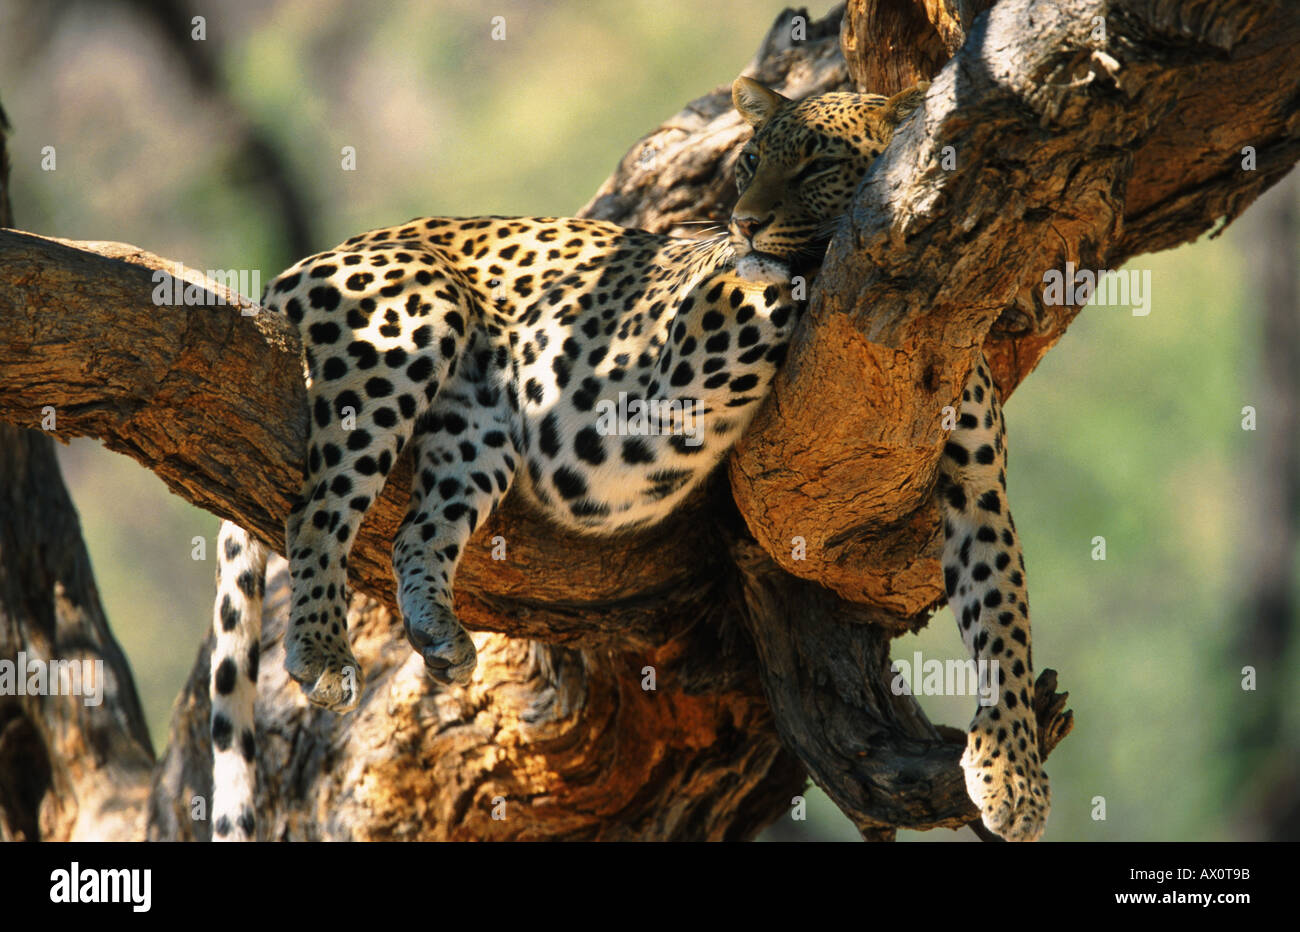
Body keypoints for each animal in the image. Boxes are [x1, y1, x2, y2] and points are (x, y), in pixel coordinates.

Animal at [208, 75, 1049, 843]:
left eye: (817, 164)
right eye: (750, 163)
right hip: (406, 326)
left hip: (475, 430)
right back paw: (321, 646)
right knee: (316, 509)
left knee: (415, 529)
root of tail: (312, 259)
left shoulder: (977, 485)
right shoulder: (659, 372)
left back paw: (436, 630)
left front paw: (1014, 776)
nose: (744, 222)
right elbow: (760, 288)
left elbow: (1003, 619)